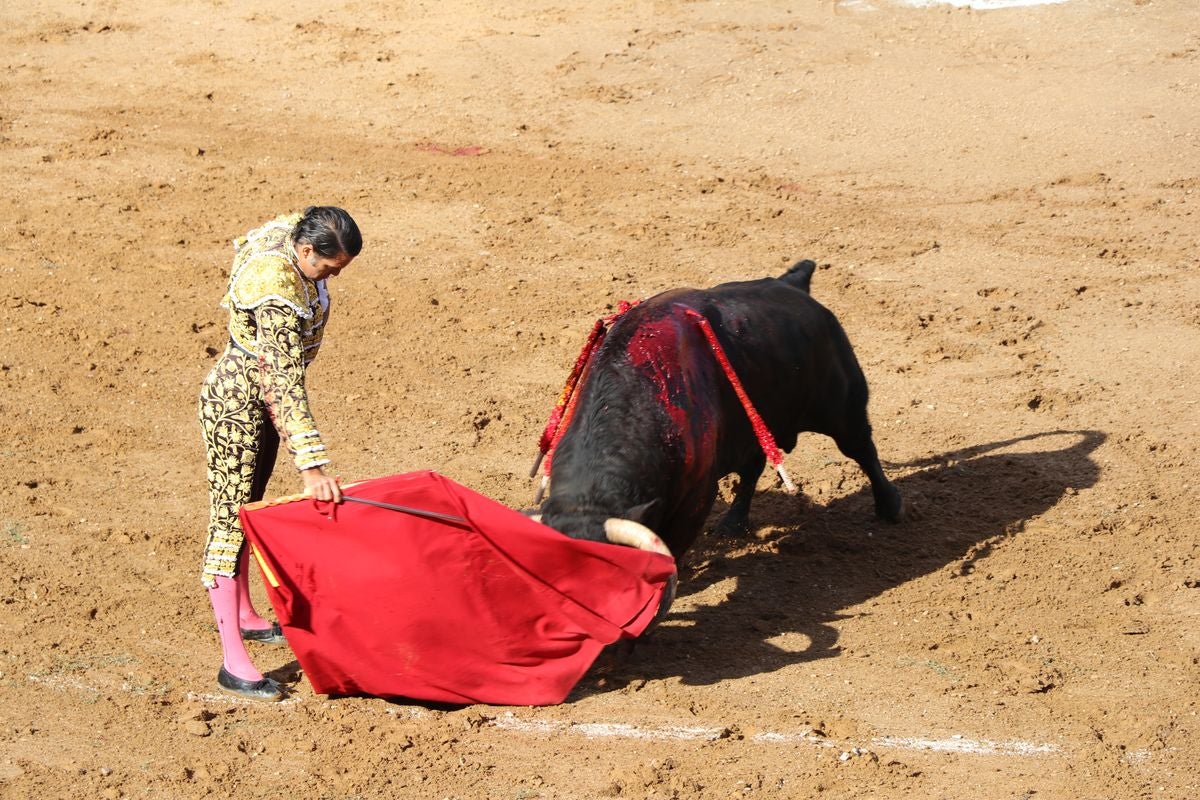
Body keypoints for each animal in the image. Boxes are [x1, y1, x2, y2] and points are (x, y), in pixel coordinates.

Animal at [540, 260, 902, 561]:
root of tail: (792, 284)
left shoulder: (696, 500)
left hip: (844, 408)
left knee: (863, 449)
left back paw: (890, 507)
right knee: (753, 468)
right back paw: (733, 523)